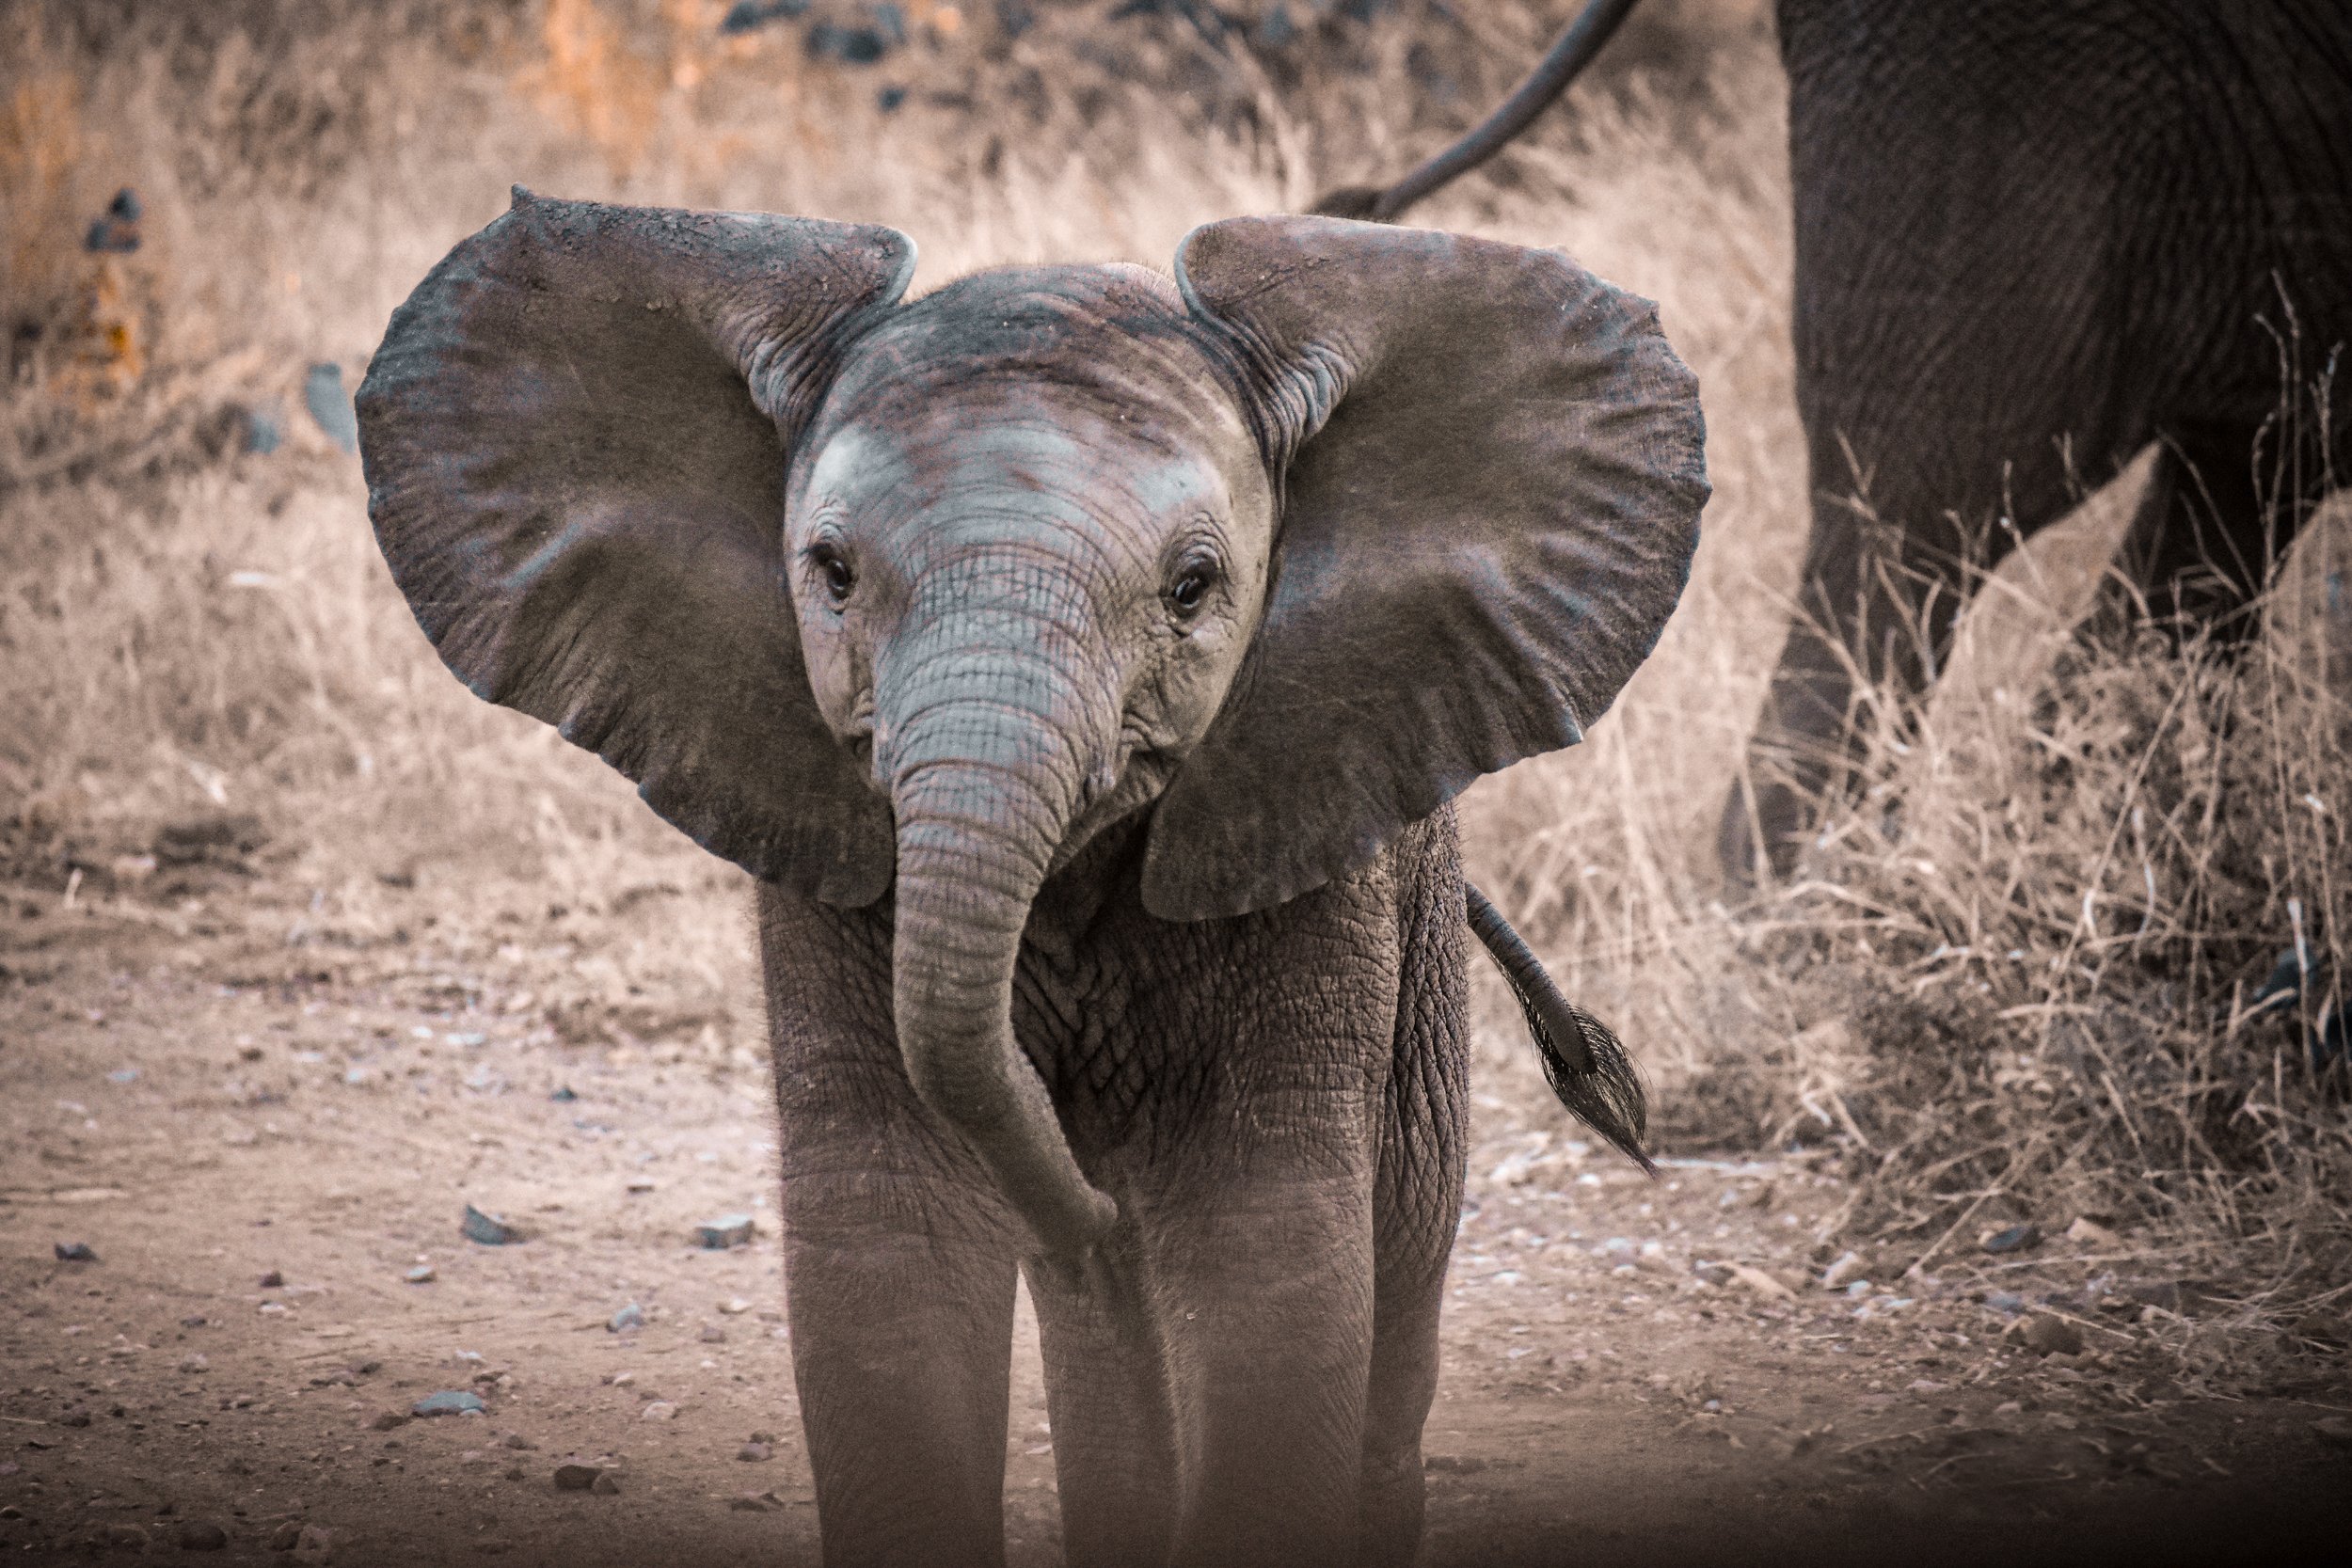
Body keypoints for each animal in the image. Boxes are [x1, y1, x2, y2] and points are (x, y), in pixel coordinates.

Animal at [354, 191, 1707, 1566]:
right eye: (831, 573)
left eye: (1193, 588)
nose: (1092, 1206)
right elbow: (887, 1247)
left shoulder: (1314, 821)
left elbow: (1266, 1249)